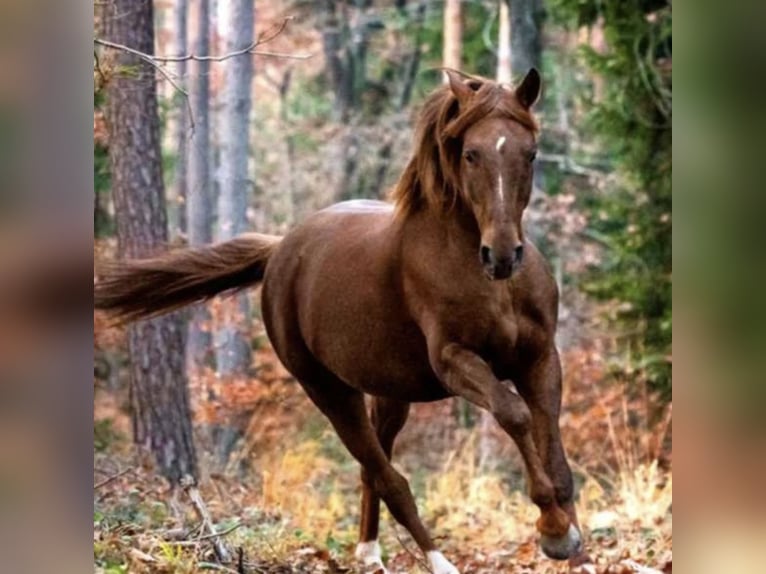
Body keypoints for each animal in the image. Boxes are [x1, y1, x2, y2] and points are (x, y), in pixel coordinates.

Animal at [95, 69, 593, 573]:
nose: (503, 255)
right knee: (389, 478)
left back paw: (369, 553)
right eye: (471, 153)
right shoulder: (454, 361)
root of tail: (280, 250)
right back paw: (435, 561)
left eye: (530, 153)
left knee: (374, 468)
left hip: (391, 392)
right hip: (329, 392)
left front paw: (569, 539)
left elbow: (553, 446)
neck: (487, 281)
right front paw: (553, 530)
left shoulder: (539, 357)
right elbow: (514, 414)